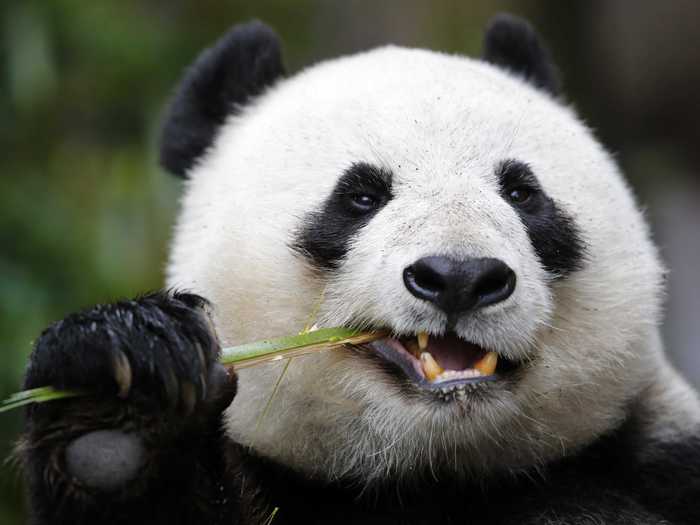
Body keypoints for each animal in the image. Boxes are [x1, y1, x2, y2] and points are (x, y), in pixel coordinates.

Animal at [20, 12, 700, 524]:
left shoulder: (659, 458)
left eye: (522, 193)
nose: (459, 276)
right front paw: (119, 407)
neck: (432, 474)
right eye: (361, 197)